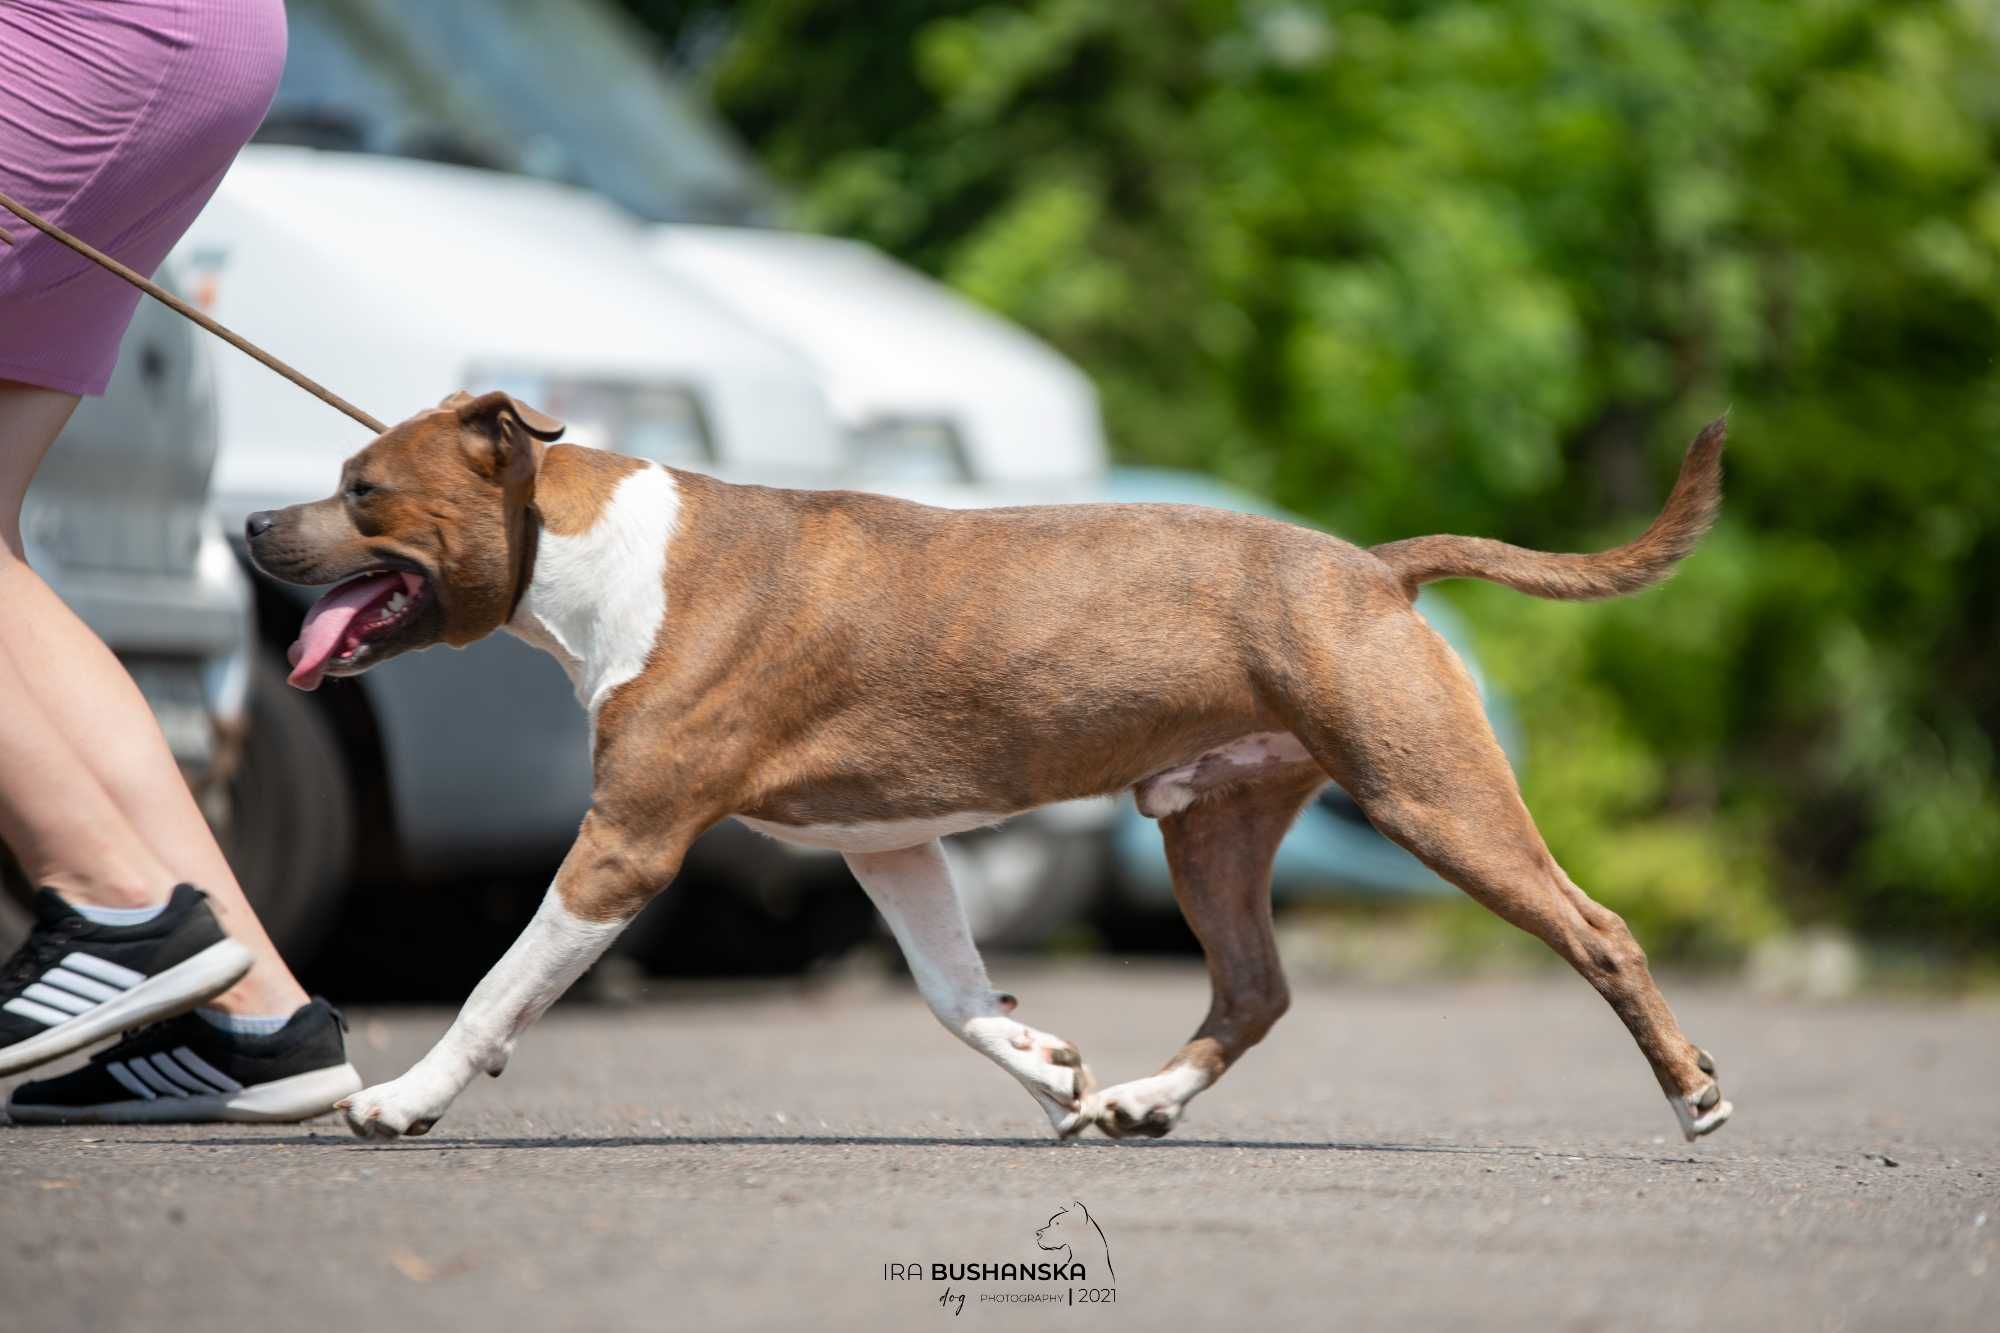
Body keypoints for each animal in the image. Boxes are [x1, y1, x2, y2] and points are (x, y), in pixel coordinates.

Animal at [238, 390, 1736, 1136]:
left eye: (364, 490)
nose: (251, 524)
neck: (589, 549)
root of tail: (1372, 568)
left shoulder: (626, 842)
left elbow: (499, 987)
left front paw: (403, 1100)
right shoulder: (886, 843)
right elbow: (955, 994)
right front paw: (1052, 1073)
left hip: (1431, 799)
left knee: (1596, 929)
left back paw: (1694, 1094)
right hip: (1212, 822)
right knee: (1252, 987)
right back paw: (1139, 1101)